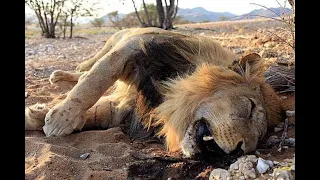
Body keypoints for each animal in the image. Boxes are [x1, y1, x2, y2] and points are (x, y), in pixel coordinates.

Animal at [26, 26, 284, 158]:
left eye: (261, 137)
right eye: (250, 107)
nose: (241, 150)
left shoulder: (127, 110)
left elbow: (98, 111)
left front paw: (39, 115)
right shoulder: (132, 50)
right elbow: (93, 82)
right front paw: (60, 119)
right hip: (111, 43)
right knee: (85, 69)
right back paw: (59, 75)